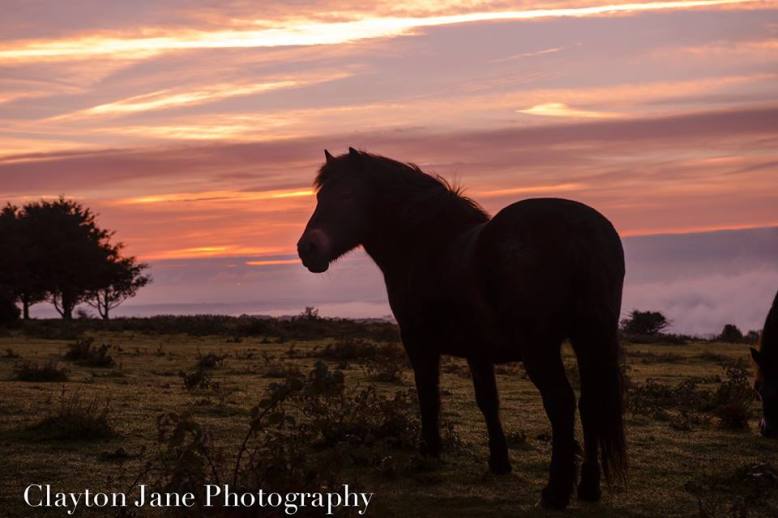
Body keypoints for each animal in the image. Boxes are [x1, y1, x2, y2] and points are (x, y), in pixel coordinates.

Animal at [297, 148, 627, 509]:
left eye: (346, 195)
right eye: (319, 197)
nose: (307, 249)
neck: (428, 245)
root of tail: (582, 231)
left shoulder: (419, 342)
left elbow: (428, 394)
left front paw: (428, 452)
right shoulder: (477, 351)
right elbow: (488, 402)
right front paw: (499, 462)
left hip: (540, 348)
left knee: (562, 404)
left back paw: (555, 492)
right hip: (588, 340)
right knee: (591, 404)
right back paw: (589, 488)